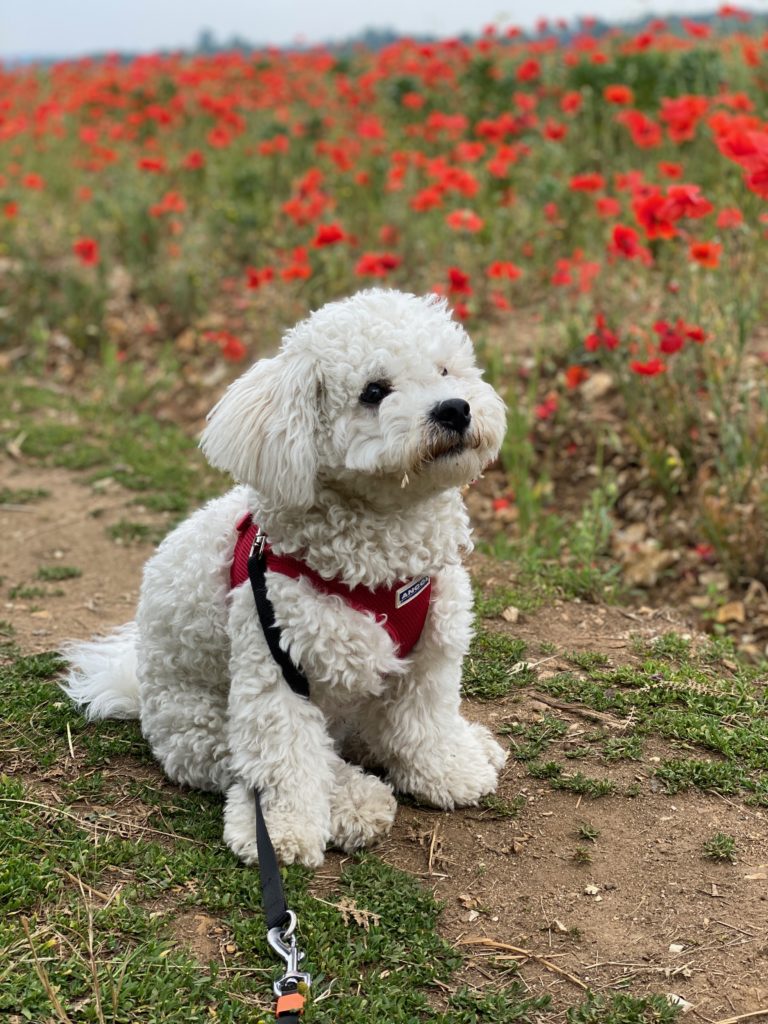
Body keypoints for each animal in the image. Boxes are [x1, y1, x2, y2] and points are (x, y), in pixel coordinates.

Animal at [64, 288, 512, 864]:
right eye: (374, 392)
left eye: (445, 371)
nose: (455, 408)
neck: (383, 565)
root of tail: (140, 692)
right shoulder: (274, 664)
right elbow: (285, 758)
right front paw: (283, 831)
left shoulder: (430, 654)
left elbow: (426, 722)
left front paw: (448, 771)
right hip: (201, 725)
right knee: (269, 764)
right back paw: (351, 802)